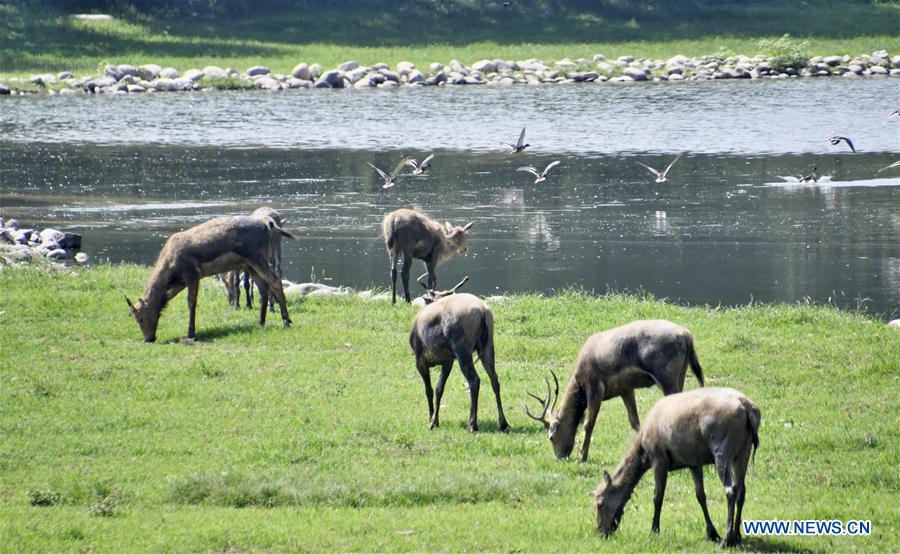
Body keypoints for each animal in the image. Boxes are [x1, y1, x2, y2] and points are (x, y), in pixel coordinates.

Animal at [126, 214, 293, 342]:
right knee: (263, 288)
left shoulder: (193, 274)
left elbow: (191, 302)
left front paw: (191, 333)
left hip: (257, 256)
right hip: (250, 264)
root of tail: (267, 225)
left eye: (140, 318)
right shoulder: (180, 282)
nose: (148, 339)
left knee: (275, 281)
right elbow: (166, 299)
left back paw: (286, 321)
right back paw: (261, 322)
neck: (170, 272)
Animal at [409, 292, 509, 432]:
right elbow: (439, 389)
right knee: (494, 379)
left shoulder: (420, 360)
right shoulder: (448, 361)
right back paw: (503, 423)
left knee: (474, 380)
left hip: (461, 347)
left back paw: (472, 424)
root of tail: (482, 311)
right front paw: (435, 420)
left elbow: (429, 390)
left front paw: (431, 420)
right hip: (487, 345)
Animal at [525, 319, 705, 462]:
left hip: (666, 377)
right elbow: (634, 422)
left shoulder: (595, 387)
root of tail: (687, 336)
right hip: (680, 375)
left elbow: (588, 423)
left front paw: (582, 456)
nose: (560, 456)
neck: (579, 383)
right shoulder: (626, 389)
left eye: (551, 437)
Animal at [592, 387, 760, 548]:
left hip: (721, 449)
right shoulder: (694, 462)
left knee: (730, 489)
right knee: (741, 490)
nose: (601, 532)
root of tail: (747, 407)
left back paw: (727, 539)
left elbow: (657, 496)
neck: (643, 454)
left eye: (600, 504)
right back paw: (737, 535)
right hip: (743, 452)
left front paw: (654, 530)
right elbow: (700, 495)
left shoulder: (659, 459)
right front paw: (711, 533)